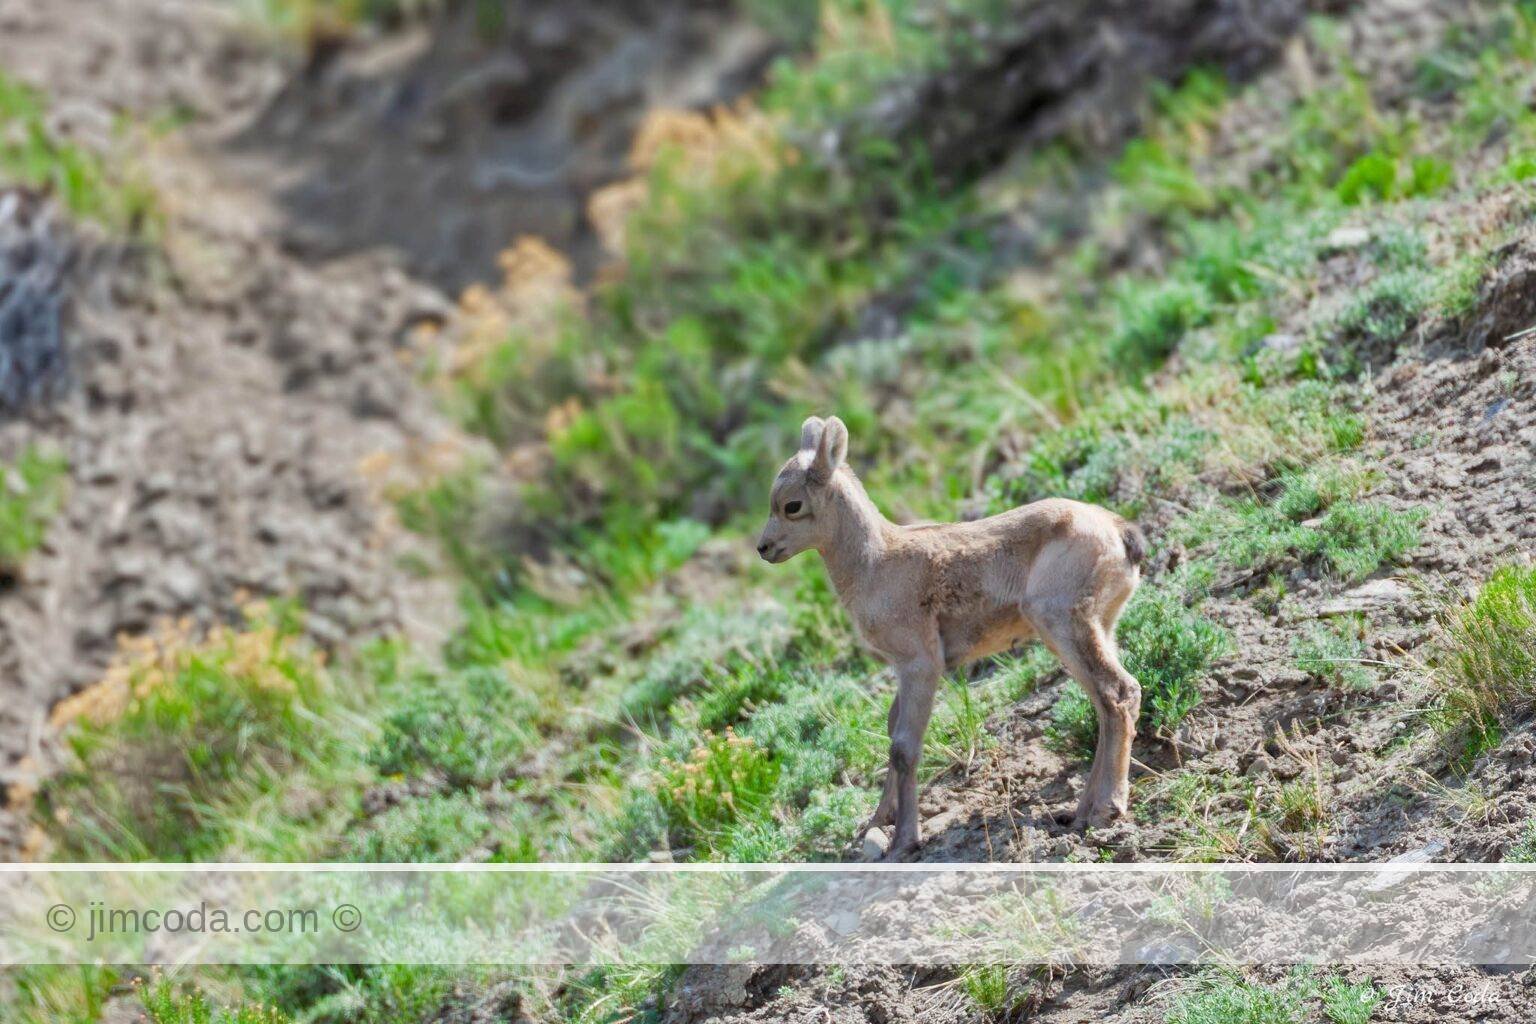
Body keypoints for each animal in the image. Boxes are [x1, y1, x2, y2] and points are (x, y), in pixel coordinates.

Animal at [756, 415, 1146, 860]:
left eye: (792, 505)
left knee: (1118, 693)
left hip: (1061, 624)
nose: (764, 547)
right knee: (1105, 704)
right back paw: (1079, 813)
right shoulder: (905, 670)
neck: (875, 563)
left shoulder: (921, 666)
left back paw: (1107, 809)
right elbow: (892, 731)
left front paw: (904, 841)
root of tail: (1121, 534)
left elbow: (903, 747)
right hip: (1096, 629)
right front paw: (877, 822)